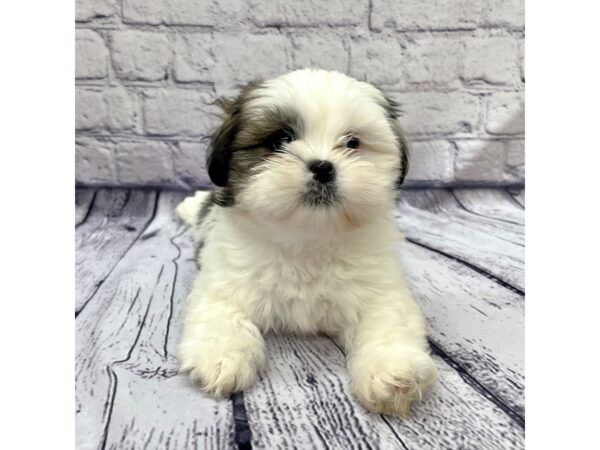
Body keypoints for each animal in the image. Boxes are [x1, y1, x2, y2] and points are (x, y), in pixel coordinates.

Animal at [176, 67, 438, 414]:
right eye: (280, 140)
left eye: (352, 142)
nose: (323, 166)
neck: (308, 238)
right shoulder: (223, 284)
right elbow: (222, 316)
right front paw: (221, 356)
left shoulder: (379, 290)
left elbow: (388, 321)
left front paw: (393, 370)